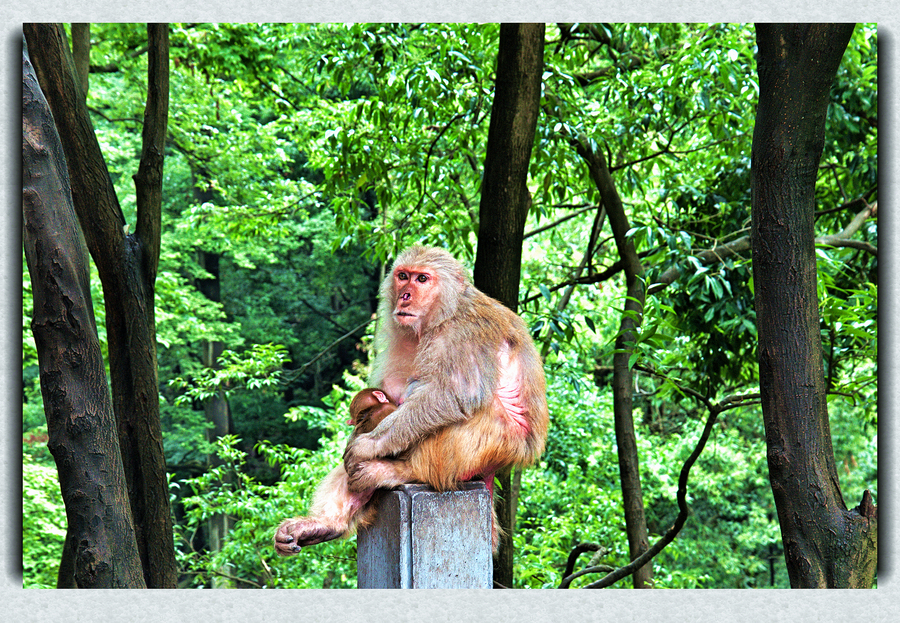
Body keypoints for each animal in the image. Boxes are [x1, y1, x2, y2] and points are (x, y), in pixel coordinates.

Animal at [272, 245, 548, 556]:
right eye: (403, 276)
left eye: (422, 279)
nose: (405, 294)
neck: (441, 316)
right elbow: (390, 393)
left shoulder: (465, 332)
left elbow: (452, 394)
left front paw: (369, 446)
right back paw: (327, 524)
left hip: (501, 444)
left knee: (472, 409)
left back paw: (399, 471)